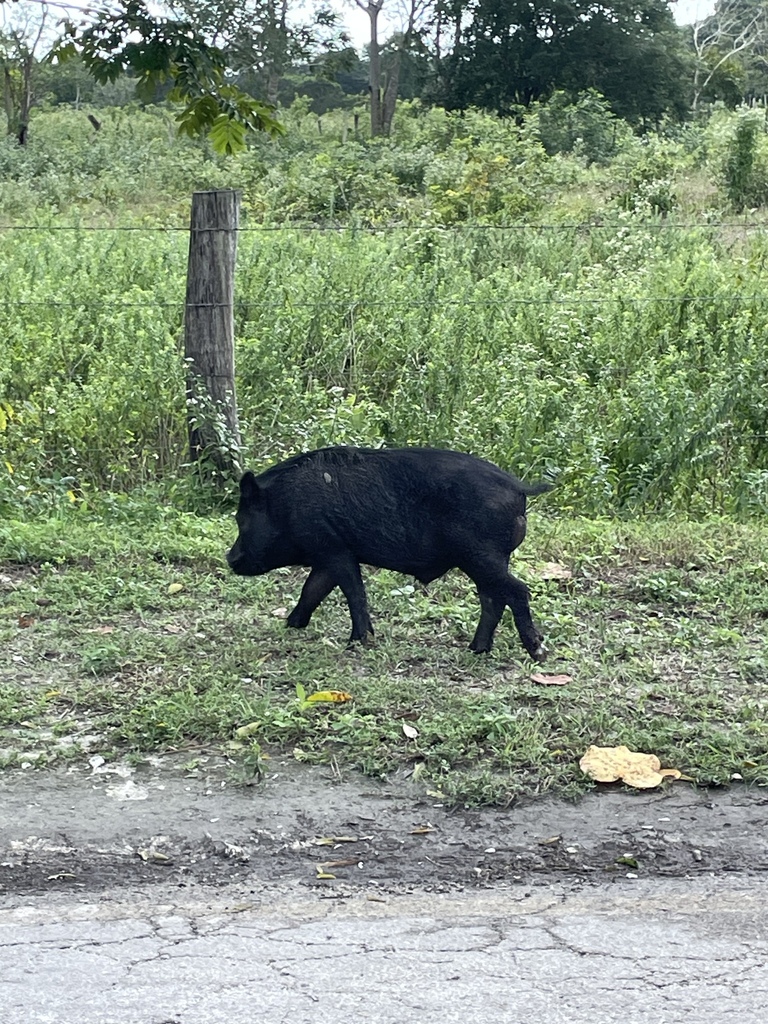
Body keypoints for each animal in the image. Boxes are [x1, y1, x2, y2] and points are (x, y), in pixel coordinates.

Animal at [227, 444, 552, 659]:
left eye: (242, 519)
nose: (229, 558)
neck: (283, 505)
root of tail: (518, 487)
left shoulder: (334, 549)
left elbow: (353, 592)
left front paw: (357, 643)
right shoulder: (329, 553)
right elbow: (313, 589)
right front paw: (291, 625)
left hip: (481, 555)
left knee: (516, 591)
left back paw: (537, 651)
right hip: (488, 560)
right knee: (492, 598)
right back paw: (476, 650)